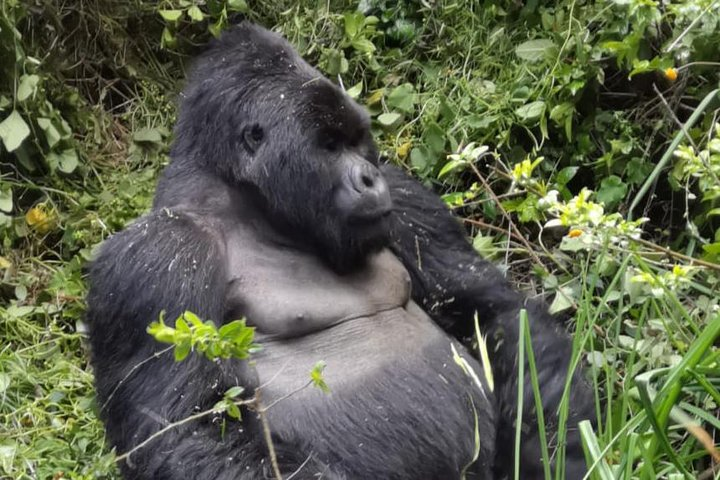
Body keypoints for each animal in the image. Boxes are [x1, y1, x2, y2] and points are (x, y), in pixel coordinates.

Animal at [86, 22, 592, 480]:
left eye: (356, 141)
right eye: (329, 146)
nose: (370, 178)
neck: (249, 204)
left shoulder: (405, 198)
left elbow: (490, 312)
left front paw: (561, 450)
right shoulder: (156, 257)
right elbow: (186, 429)